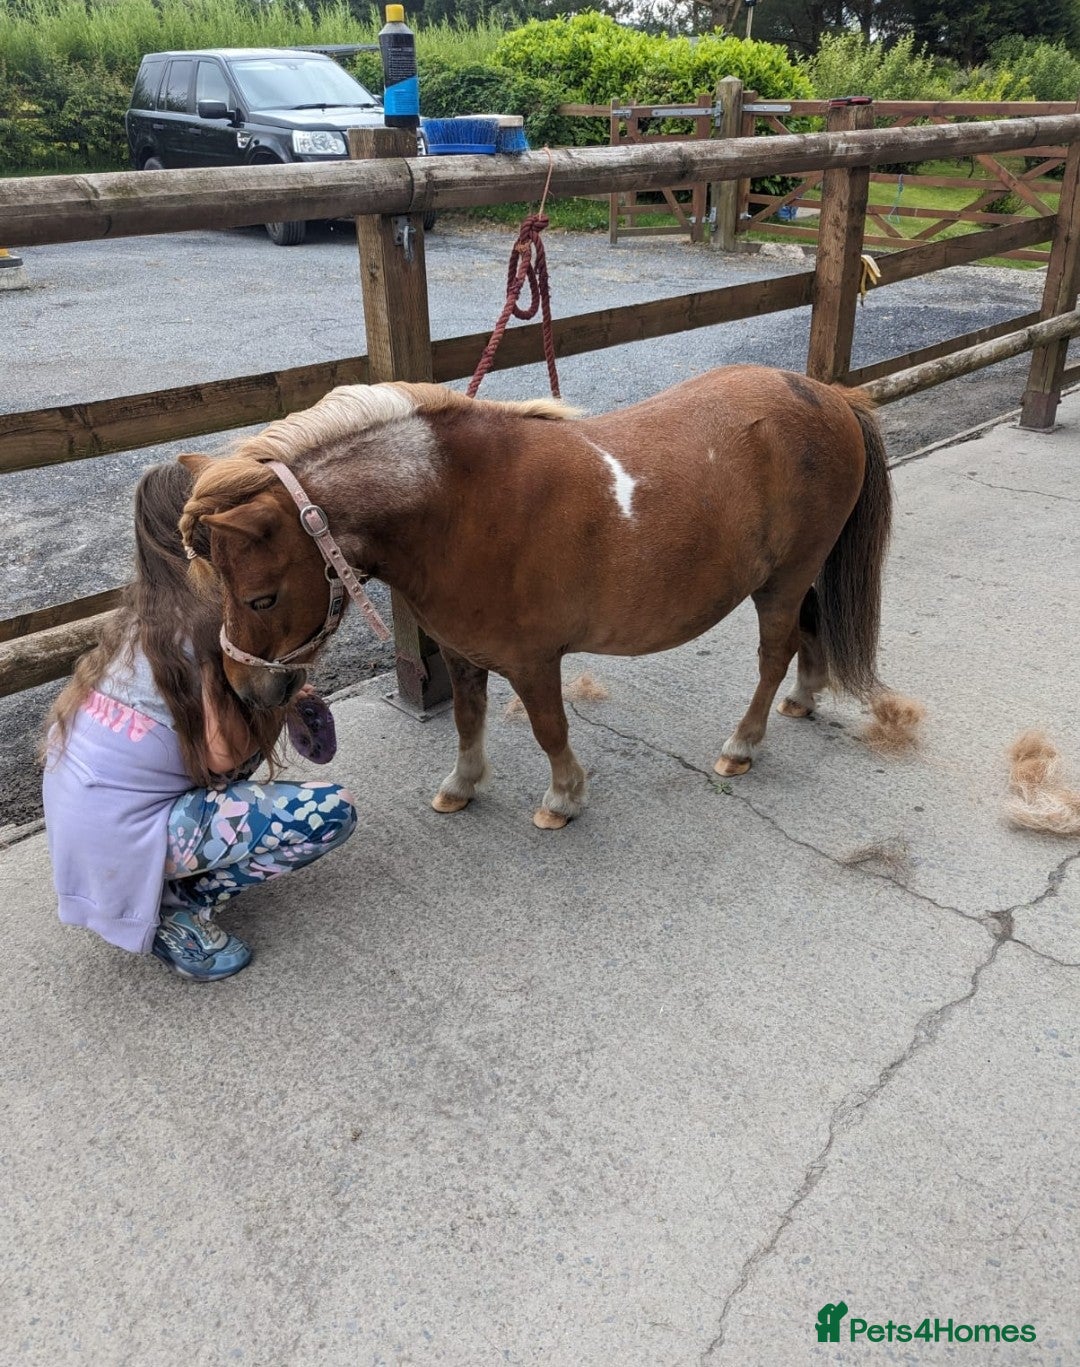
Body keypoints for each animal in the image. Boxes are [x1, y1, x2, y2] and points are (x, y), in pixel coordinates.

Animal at [178, 365, 892, 829]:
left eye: (261, 598)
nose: (247, 690)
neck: (457, 506)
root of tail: (829, 393)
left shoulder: (533, 660)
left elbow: (550, 729)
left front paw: (564, 798)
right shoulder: (463, 653)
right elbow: (468, 720)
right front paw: (462, 786)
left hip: (784, 579)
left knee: (774, 654)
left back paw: (743, 745)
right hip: (793, 577)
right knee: (807, 632)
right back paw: (804, 698)